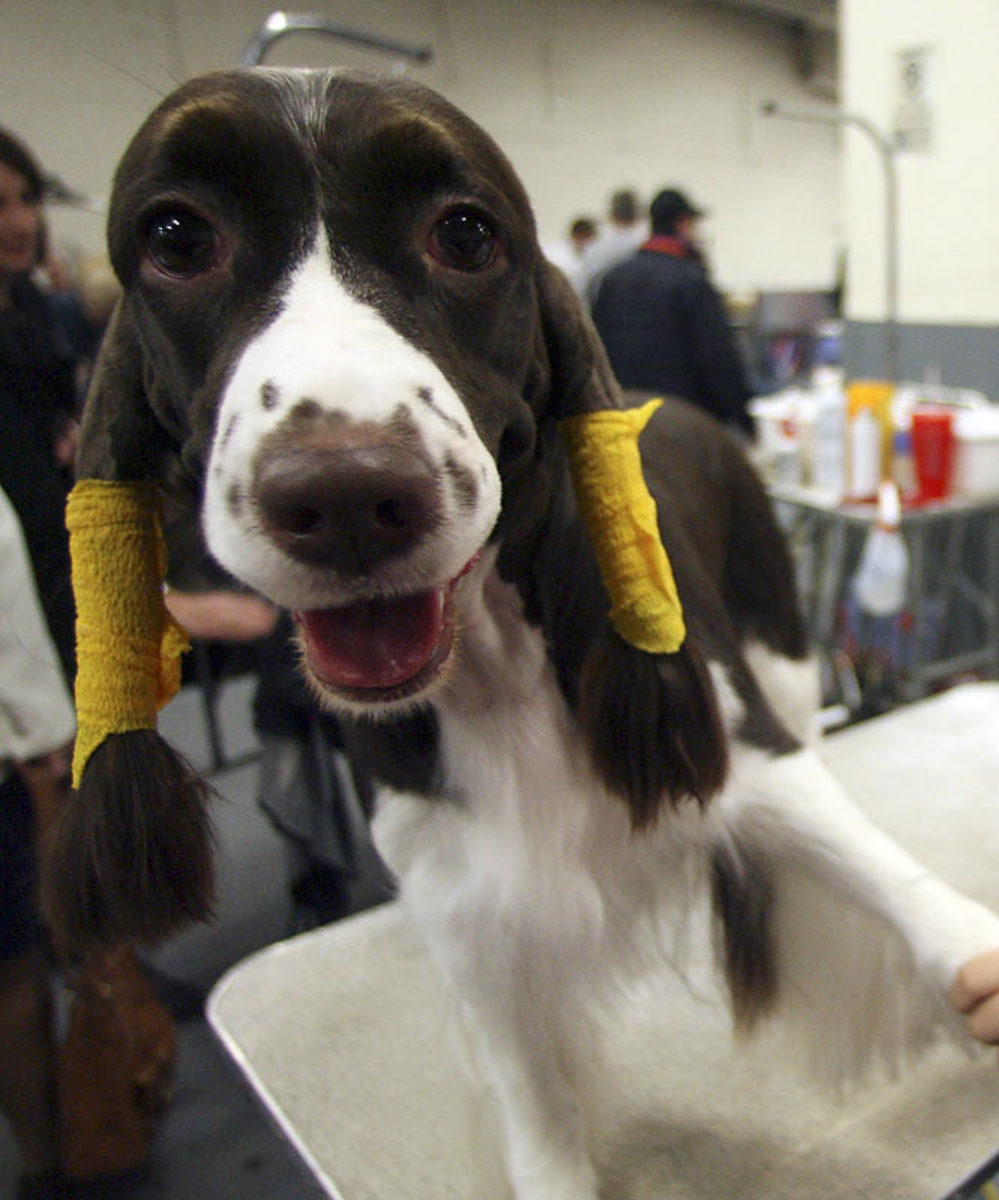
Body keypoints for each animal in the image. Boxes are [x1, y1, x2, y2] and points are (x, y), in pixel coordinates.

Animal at [48, 68, 999, 1200]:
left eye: (465, 233)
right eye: (178, 238)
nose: (347, 494)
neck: (494, 663)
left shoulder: (743, 744)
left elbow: (881, 872)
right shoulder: (466, 908)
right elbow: (533, 1097)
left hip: (783, 654)